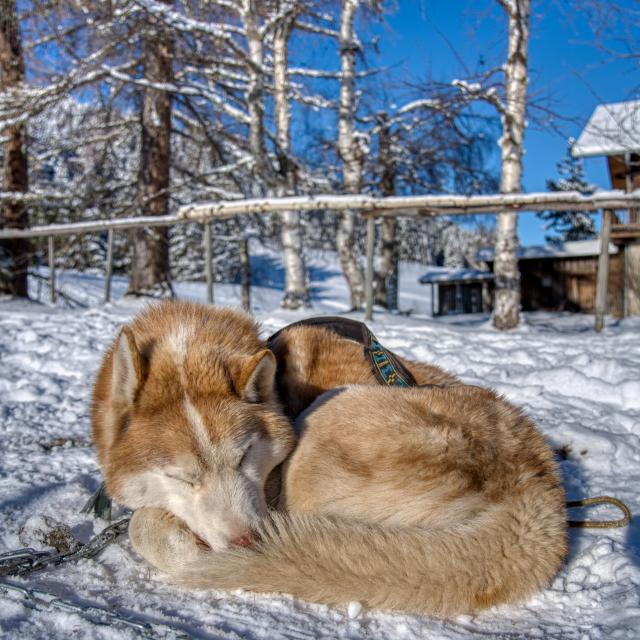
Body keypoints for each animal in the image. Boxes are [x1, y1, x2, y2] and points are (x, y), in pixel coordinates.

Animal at [91, 302, 564, 616]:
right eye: (182, 477)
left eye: (245, 457)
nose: (248, 541)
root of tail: (535, 489)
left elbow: (139, 524)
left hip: (325, 425)